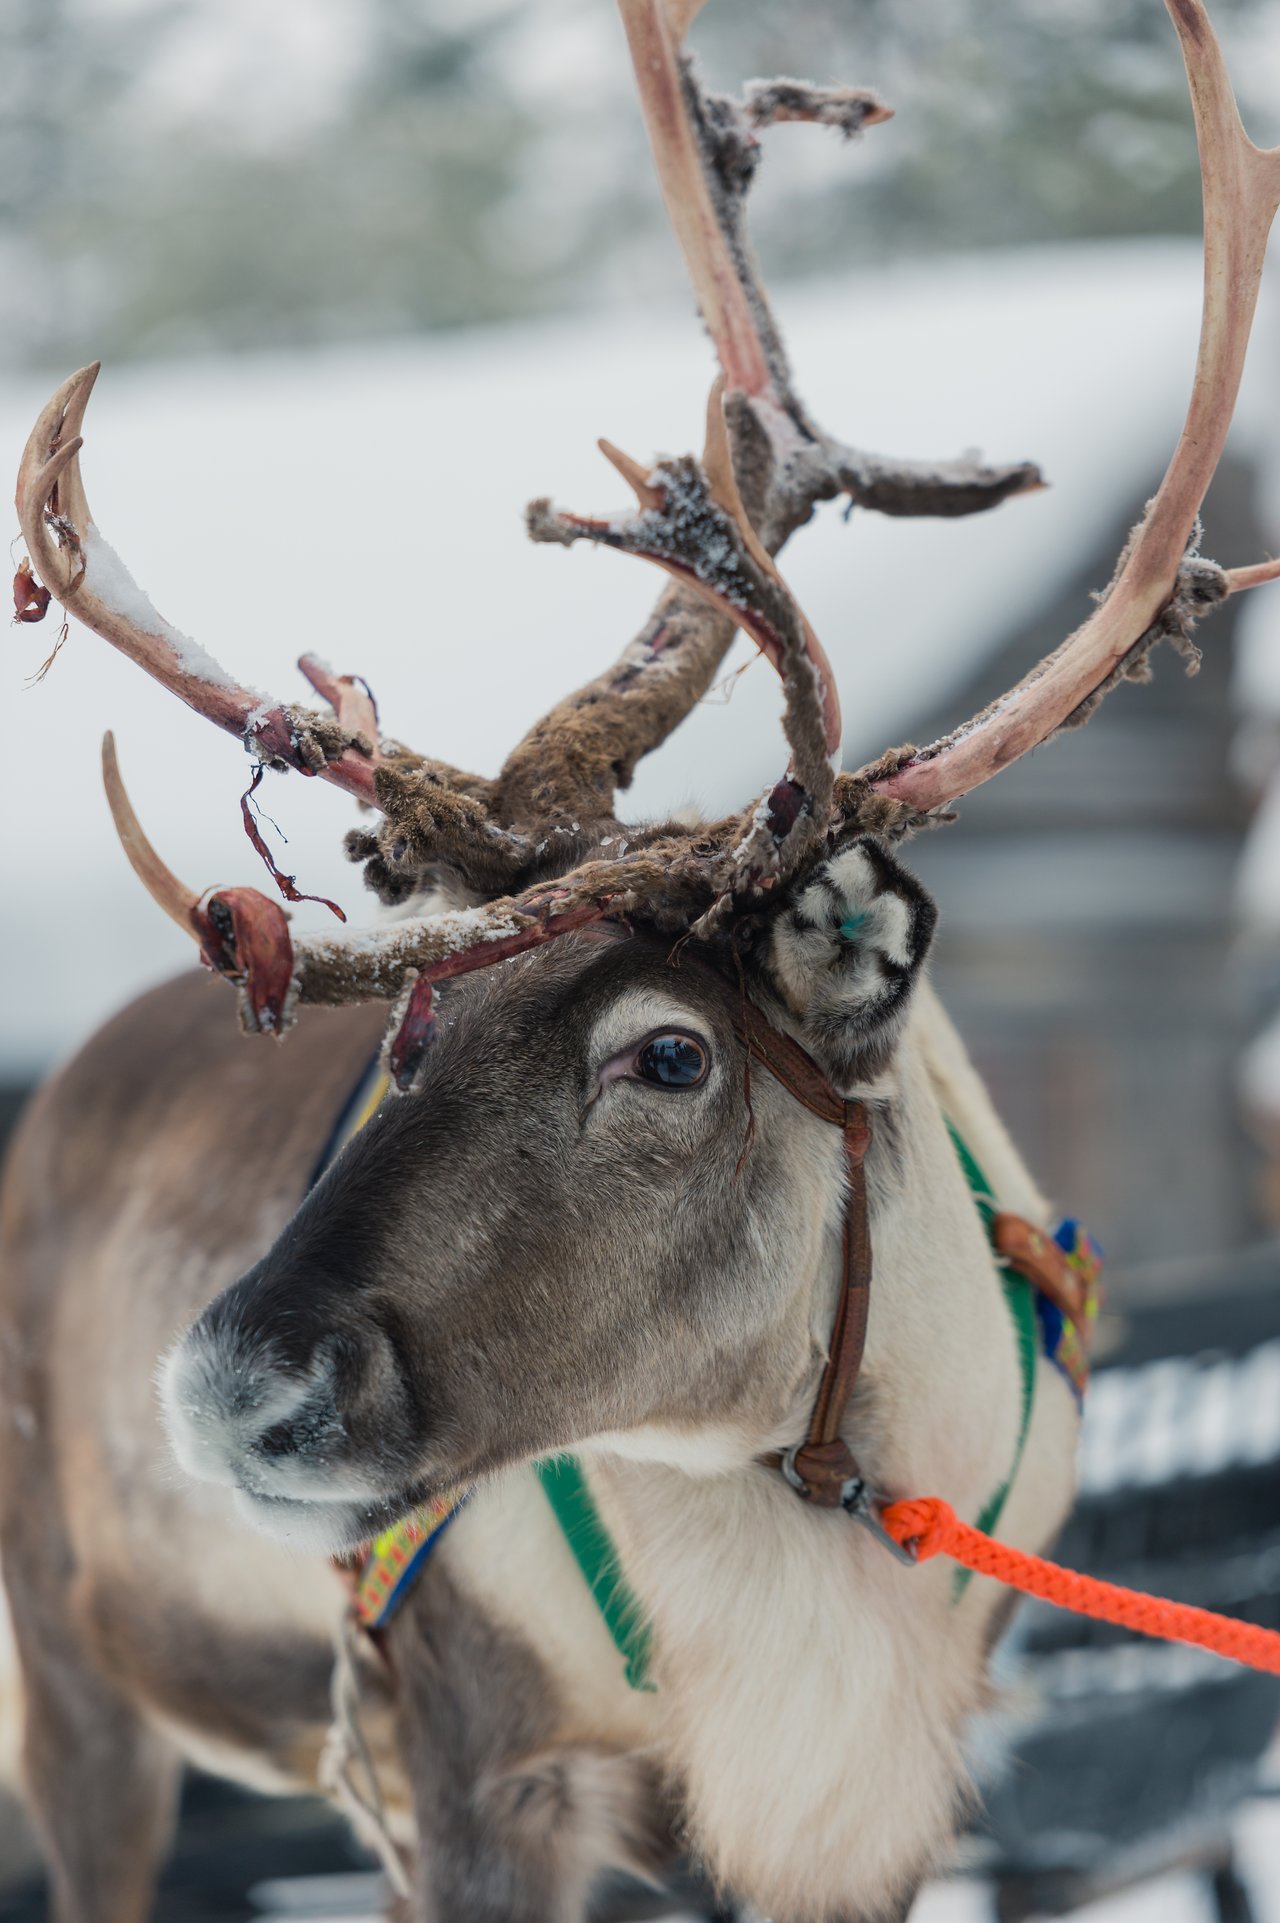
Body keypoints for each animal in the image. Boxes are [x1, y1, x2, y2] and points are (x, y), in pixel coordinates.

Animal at [4, 3, 1279, 1919]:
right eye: (413, 1026)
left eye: (672, 1051)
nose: (232, 1385)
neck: (815, 1492)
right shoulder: (473, 1765)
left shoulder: (881, 1802)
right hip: (77, 1673)